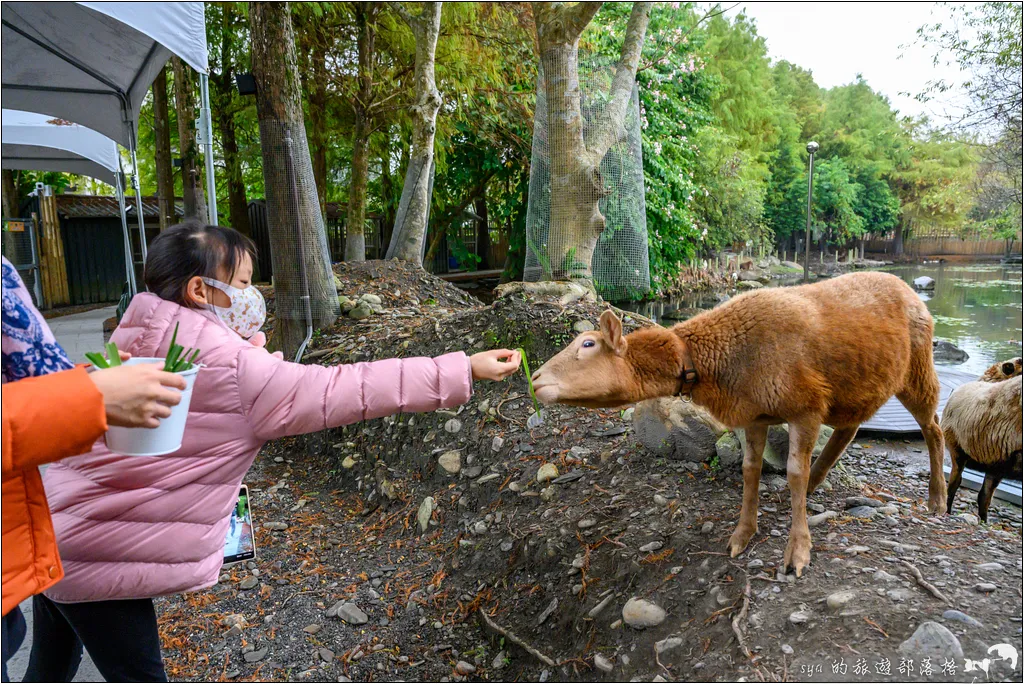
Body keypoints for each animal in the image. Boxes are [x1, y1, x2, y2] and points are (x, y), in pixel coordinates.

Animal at [532, 272, 946, 577]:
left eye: (587, 345)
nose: (534, 378)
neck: (708, 357)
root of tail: (905, 285)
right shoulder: (755, 414)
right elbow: (750, 469)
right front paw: (742, 535)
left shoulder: (806, 407)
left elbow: (793, 472)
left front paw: (798, 549)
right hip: (855, 387)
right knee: (850, 429)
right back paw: (818, 481)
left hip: (916, 369)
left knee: (934, 428)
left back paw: (937, 498)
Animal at [937, 376, 1019, 520]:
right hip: (958, 450)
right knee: (955, 482)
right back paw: (948, 510)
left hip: (996, 464)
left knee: (984, 496)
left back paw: (984, 520)